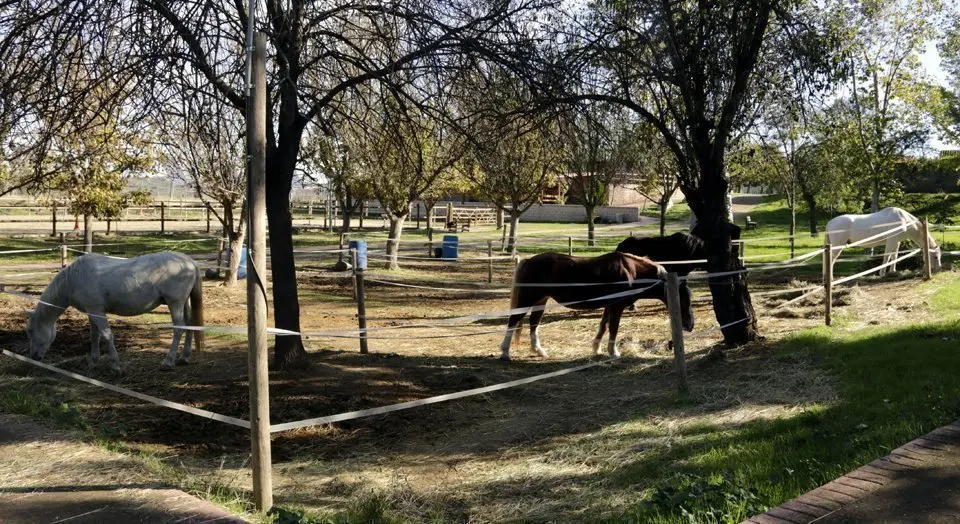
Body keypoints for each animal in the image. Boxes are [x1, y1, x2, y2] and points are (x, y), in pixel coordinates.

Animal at [26, 252, 204, 370]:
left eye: (31, 331)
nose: (33, 356)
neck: (74, 279)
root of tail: (189, 262)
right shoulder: (92, 311)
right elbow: (94, 335)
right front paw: (94, 360)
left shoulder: (97, 312)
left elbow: (106, 335)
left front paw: (115, 365)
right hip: (183, 303)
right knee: (190, 326)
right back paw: (184, 358)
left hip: (175, 303)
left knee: (179, 329)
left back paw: (168, 361)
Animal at [498, 251, 692, 360]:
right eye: (683, 299)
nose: (690, 326)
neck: (632, 272)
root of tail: (529, 261)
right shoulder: (617, 306)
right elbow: (613, 328)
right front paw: (613, 352)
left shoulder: (609, 306)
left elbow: (603, 326)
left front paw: (597, 349)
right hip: (528, 300)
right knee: (513, 322)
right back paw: (505, 353)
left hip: (541, 301)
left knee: (533, 324)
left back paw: (539, 351)